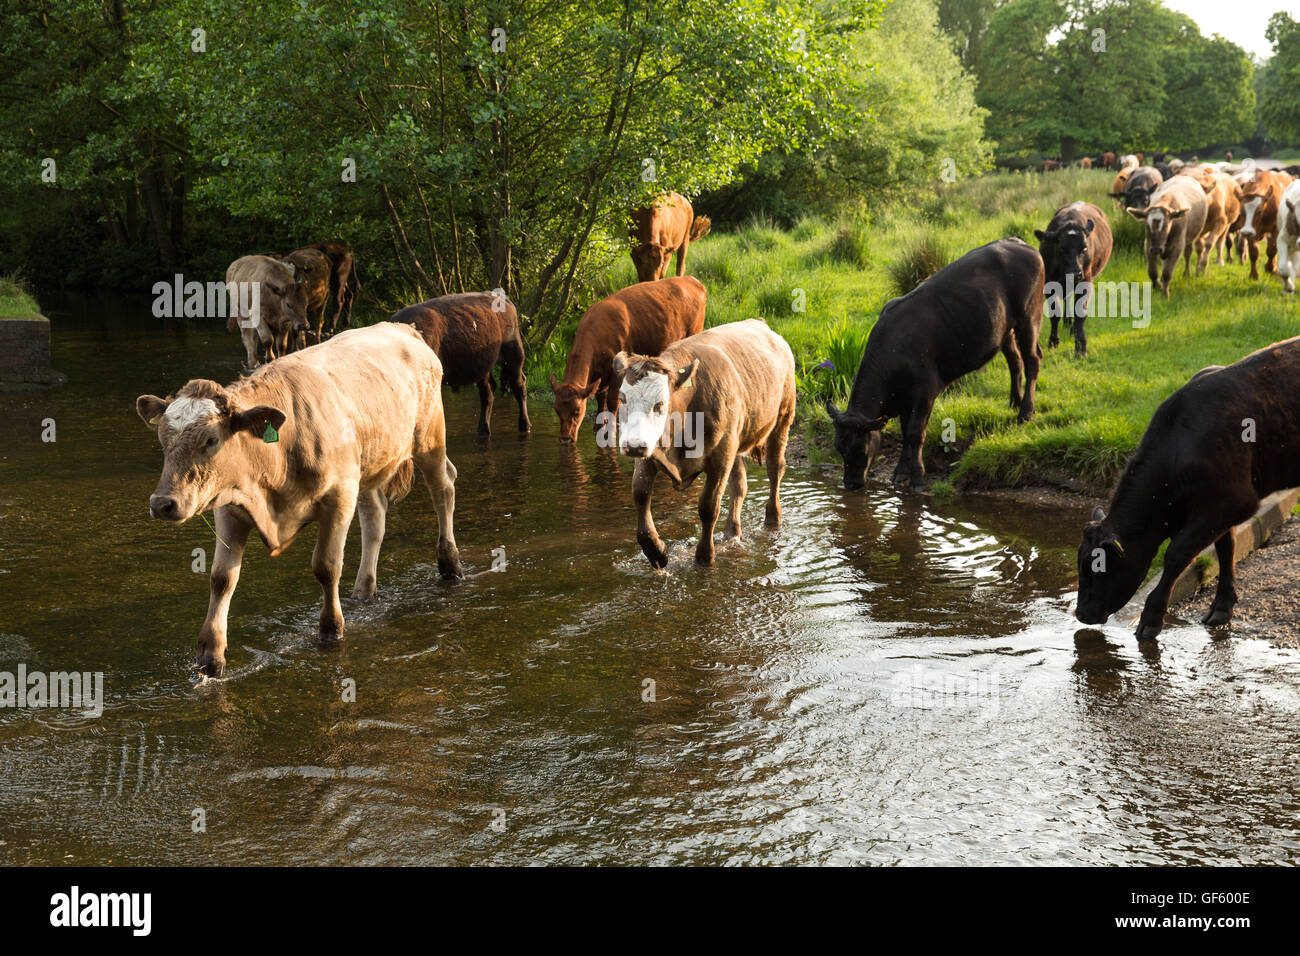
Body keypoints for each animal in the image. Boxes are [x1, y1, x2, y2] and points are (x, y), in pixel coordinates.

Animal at [135, 325, 462, 676]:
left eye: (211, 440)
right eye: (162, 439)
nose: (162, 503)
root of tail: (402, 329)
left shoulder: (338, 497)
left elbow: (326, 567)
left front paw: (331, 629)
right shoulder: (230, 507)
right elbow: (222, 579)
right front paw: (211, 655)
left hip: (429, 438)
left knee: (443, 488)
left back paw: (450, 563)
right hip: (367, 467)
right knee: (375, 517)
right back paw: (364, 590)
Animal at [387, 291, 530, 437]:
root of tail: (504, 300)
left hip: (514, 357)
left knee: (519, 387)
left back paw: (525, 425)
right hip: (484, 366)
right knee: (488, 392)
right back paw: (483, 430)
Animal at [551, 274, 707, 442]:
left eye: (577, 411)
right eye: (557, 410)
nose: (565, 438)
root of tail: (690, 279)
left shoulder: (616, 372)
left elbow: (613, 401)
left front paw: (611, 431)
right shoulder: (600, 375)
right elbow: (600, 397)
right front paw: (598, 426)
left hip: (693, 333)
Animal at [611, 317, 800, 567]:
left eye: (660, 404)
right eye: (622, 399)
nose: (633, 445)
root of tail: (760, 324)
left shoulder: (720, 457)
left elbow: (708, 506)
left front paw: (704, 556)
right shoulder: (650, 453)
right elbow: (641, 494)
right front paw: (656, 550)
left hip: (782, 418)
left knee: (774, 470)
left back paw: (773, 518)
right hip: (736, 442)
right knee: (739, 484)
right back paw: (732, 532)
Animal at [832, 239, 1045, 494]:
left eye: (861, 448)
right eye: (839, 448)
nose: (851, 483)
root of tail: (1018, 242)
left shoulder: (925, 391)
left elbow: (916, 434)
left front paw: (917, 478)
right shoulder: (904, 399)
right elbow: (905, 433)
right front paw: (900, 473)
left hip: (1029, 318)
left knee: (1032, 360)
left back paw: (1026, 411)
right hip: (1004, 328)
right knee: (1015, 360)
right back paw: (1015, 400)